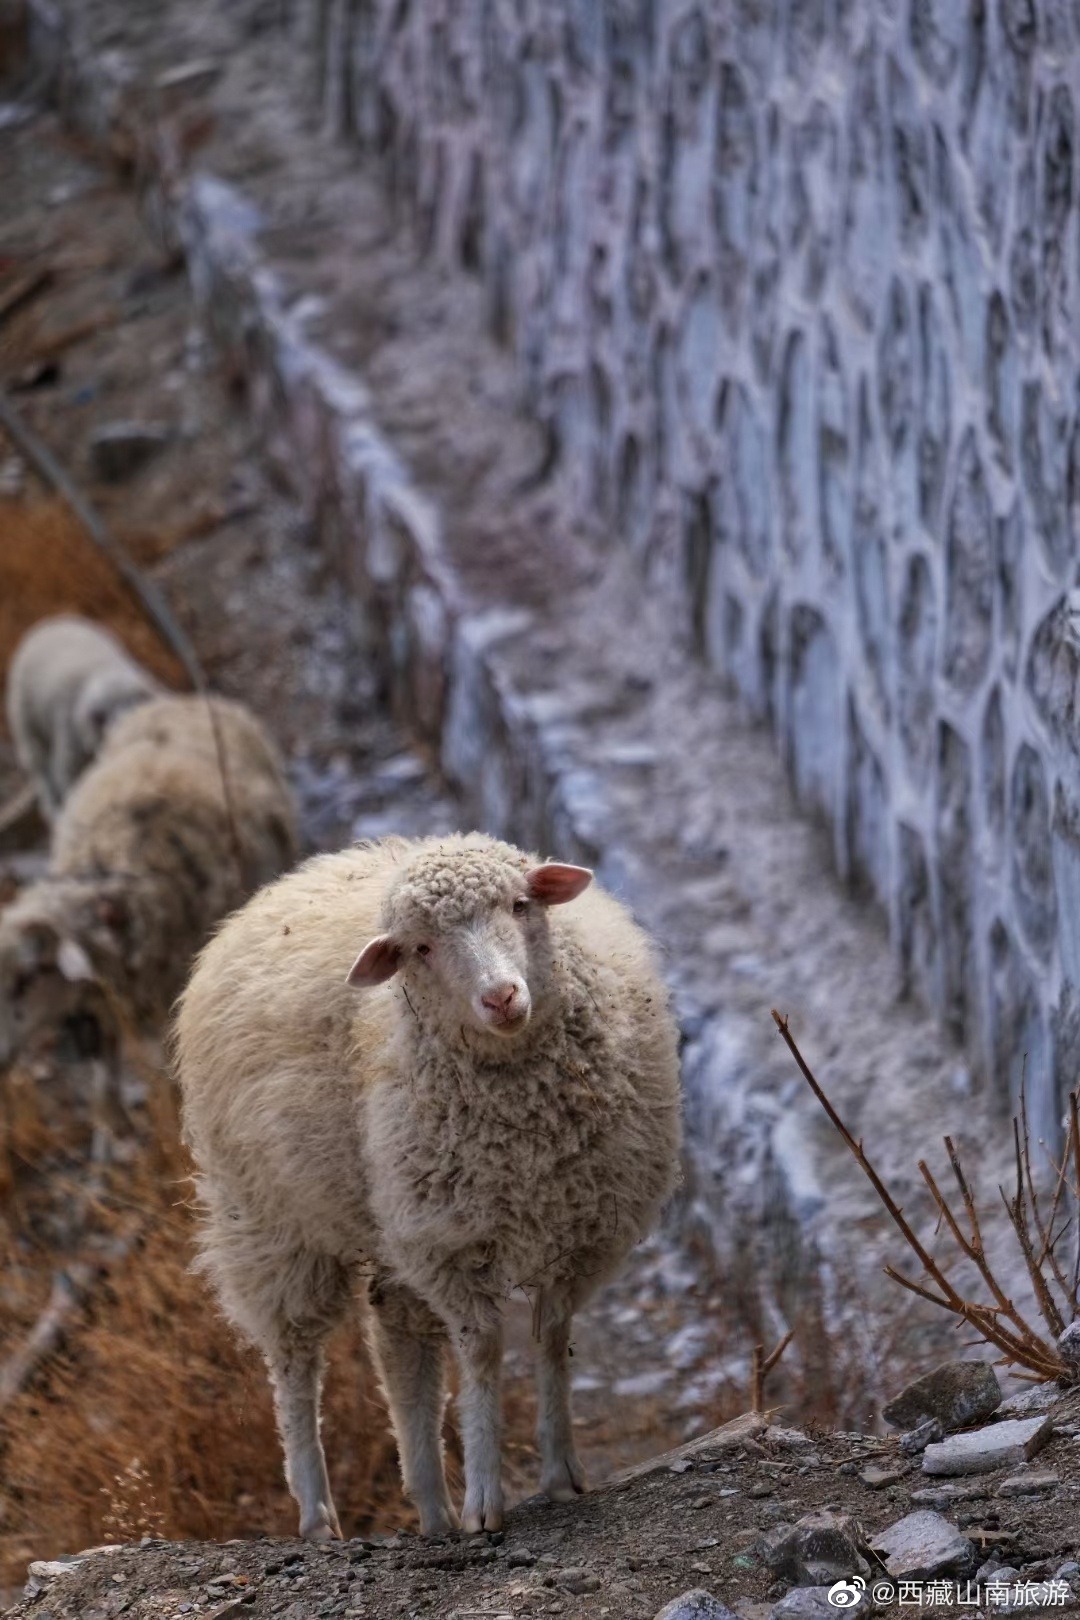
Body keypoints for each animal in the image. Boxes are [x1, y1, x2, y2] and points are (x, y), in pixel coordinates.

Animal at [5, 615, 165, 829]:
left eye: (138, 702)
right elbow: (66, 775)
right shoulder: (69, 735)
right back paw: (53, 810)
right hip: (25, 720)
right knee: (40, 766)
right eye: (103, 717)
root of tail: (50, 623)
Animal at [177, 835, 683, 1542]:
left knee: (403, 1350)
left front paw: (560, 1472)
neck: (527, 1125)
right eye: (420, 947)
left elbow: (551, 1338)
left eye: (520, 904)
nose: (502, 997)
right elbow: (484, 1351)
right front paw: (485, 1498)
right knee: (295, 1361)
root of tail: (284, 885)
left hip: (392, 1224)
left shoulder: (578, 1232)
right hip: (268, 1221)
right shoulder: (449, 1246)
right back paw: (318, 1513)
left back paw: (431, 1507)